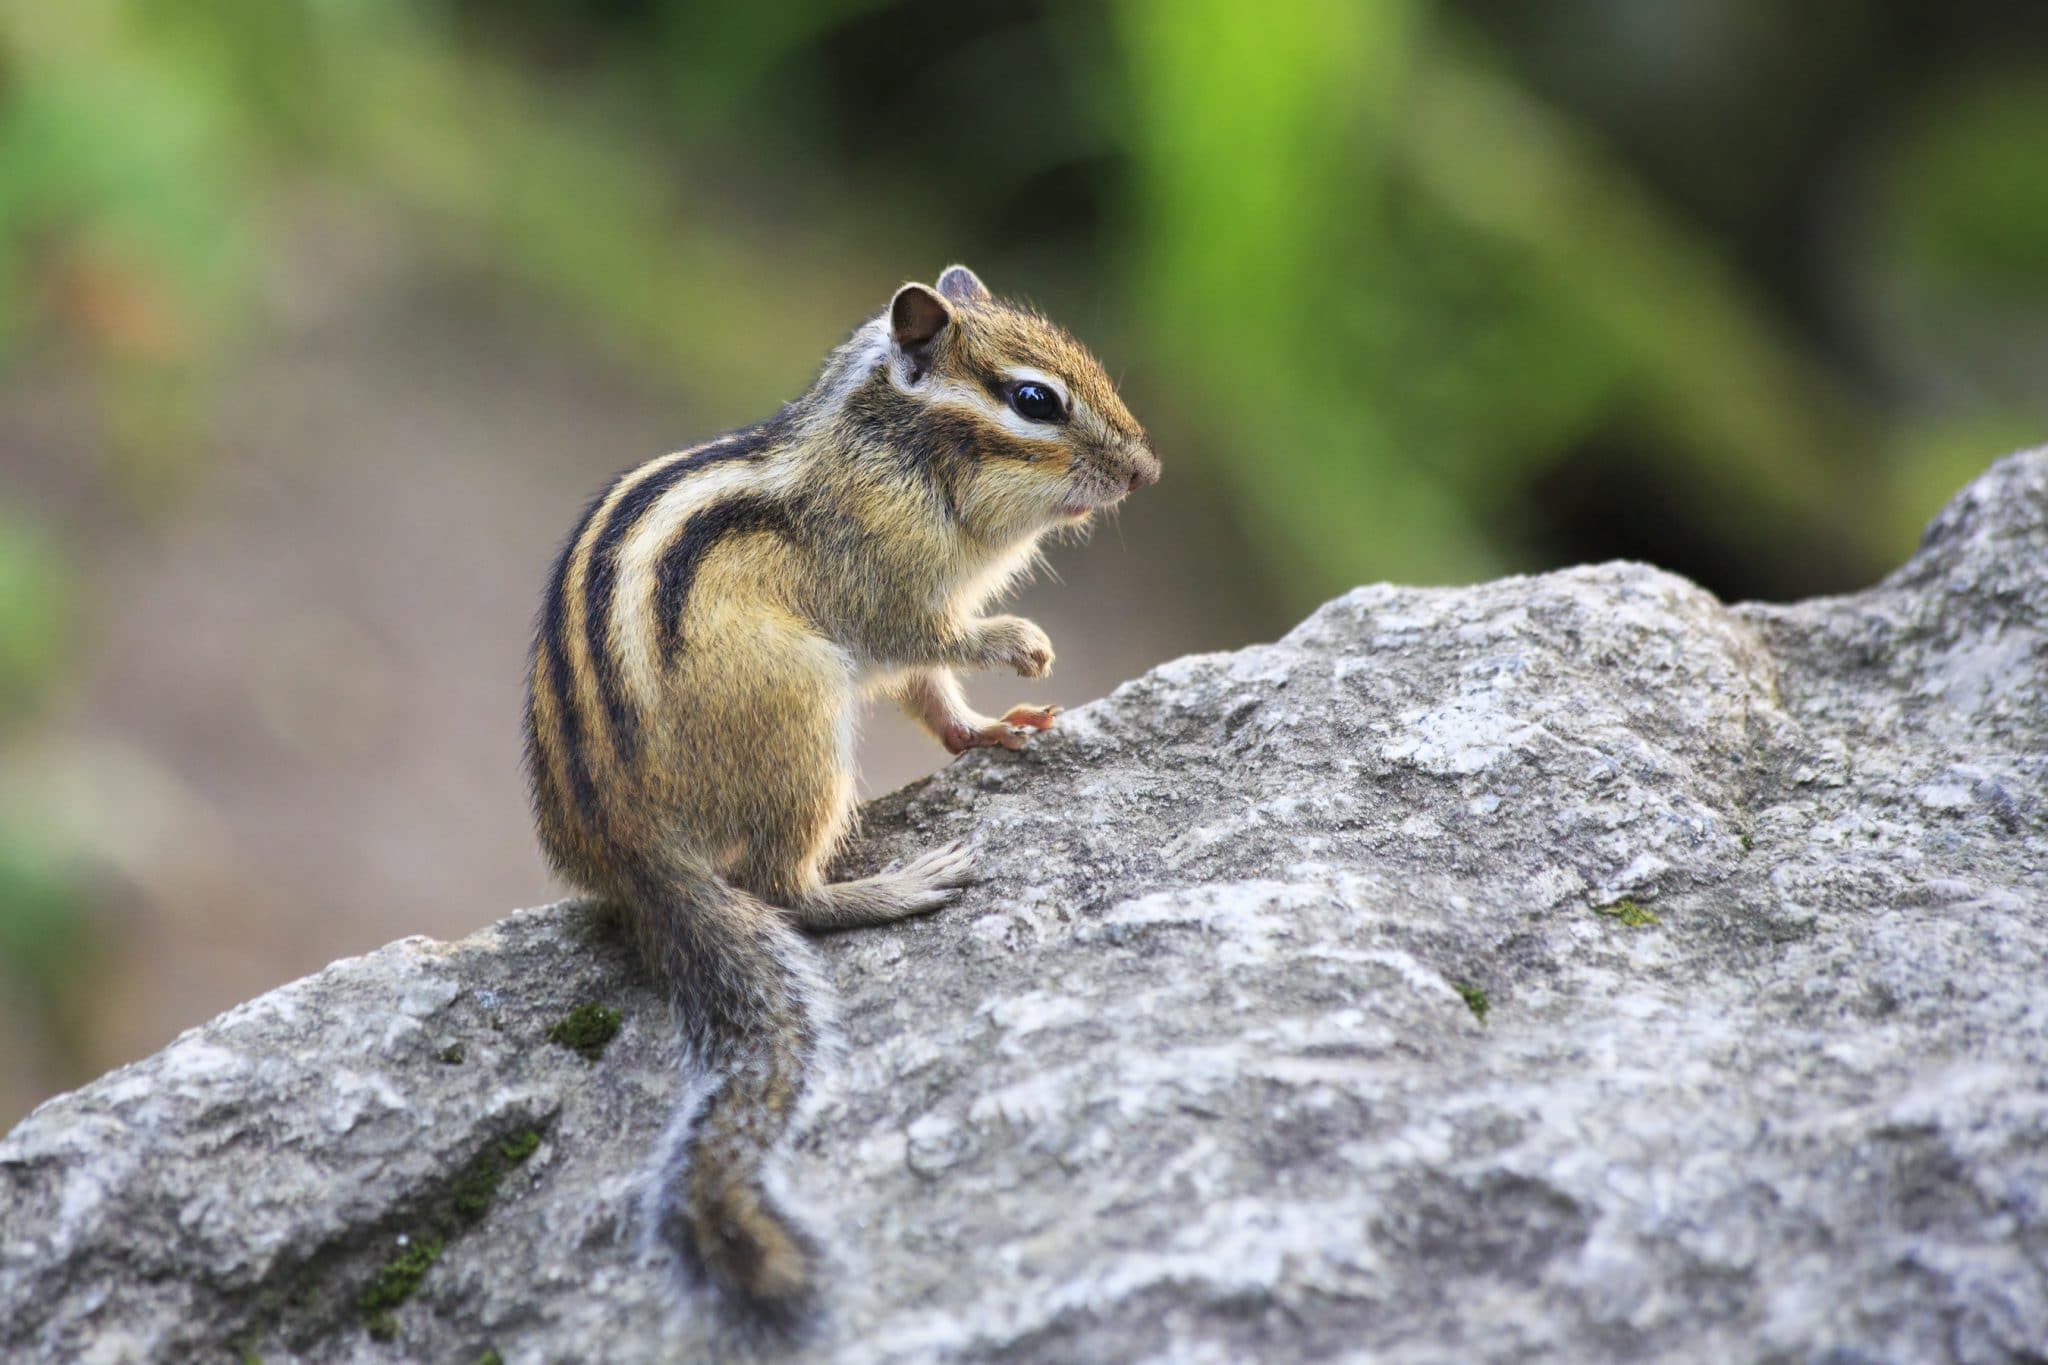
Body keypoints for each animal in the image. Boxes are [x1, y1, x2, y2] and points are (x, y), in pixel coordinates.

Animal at [522, 264, 1159, 1332]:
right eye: (1035, 400)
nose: (1148, 472)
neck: (895, 455)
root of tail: (624, 840)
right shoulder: (893, 592)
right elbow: (933, 643)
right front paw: (1022, 642)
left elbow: (931, 693)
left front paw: (993, 726)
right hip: (804, 710)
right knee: (781, 889)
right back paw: (895, 887)